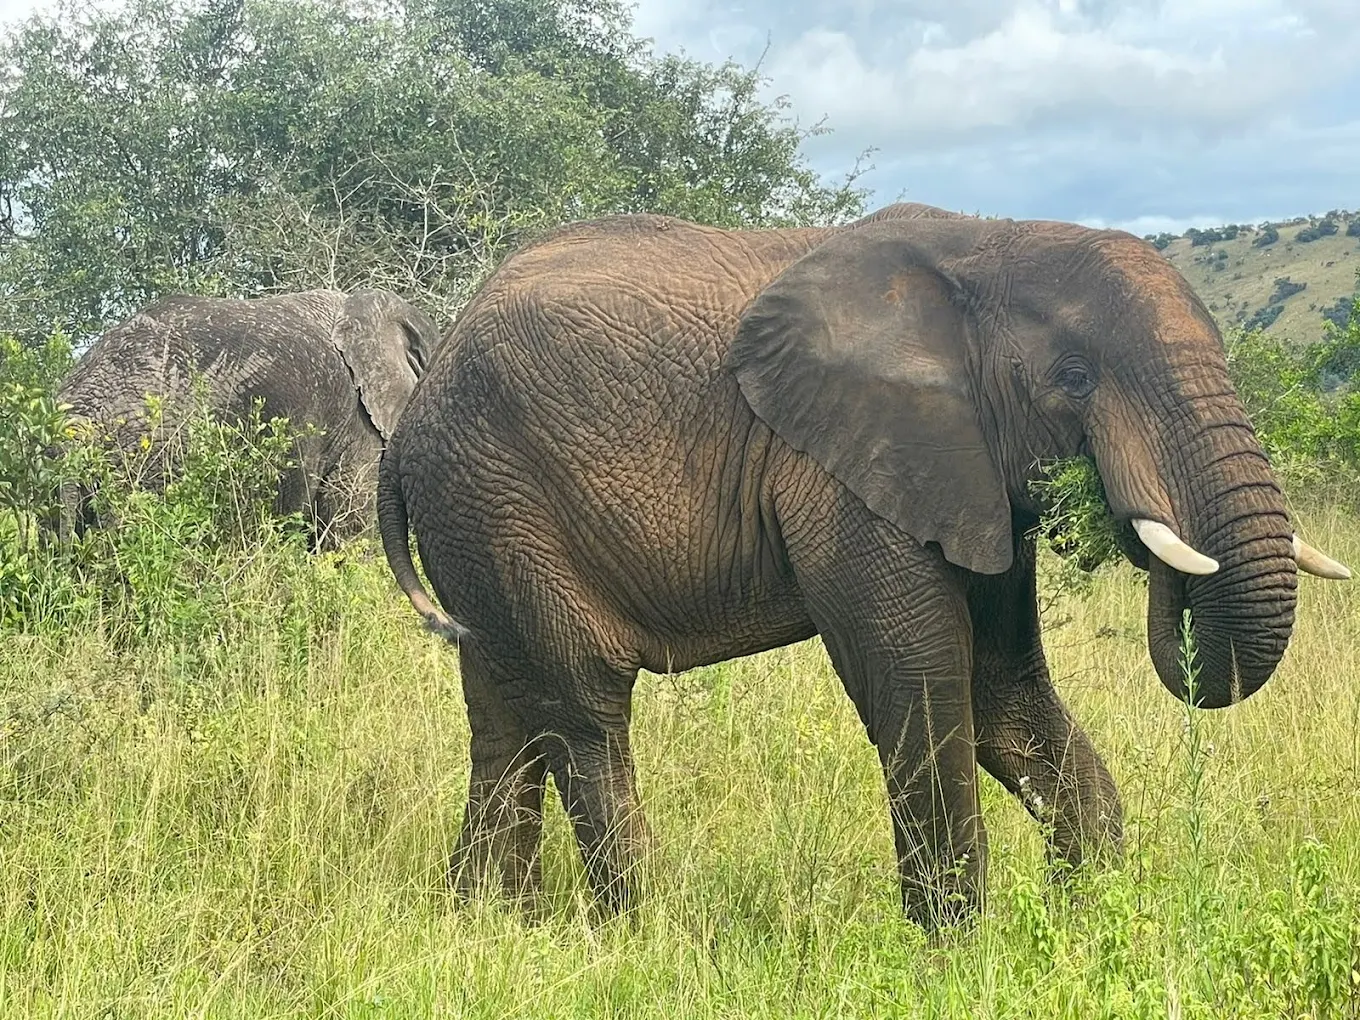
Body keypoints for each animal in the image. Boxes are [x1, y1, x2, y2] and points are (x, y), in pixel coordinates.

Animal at [376, 203, 1350, 930]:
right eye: (1075, 377)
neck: (989, 244)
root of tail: (419, 400)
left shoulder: (965, 469)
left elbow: (1003, 690)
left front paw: (1097, 922)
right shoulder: (841, 470)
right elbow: (919, 680)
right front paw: (956, 955)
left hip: (476, 514)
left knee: (505, 710)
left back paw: (491, 926)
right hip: (499, 496)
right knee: (584, 707)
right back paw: (641, 934)